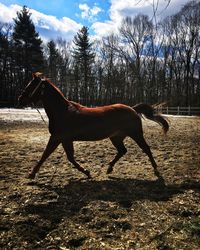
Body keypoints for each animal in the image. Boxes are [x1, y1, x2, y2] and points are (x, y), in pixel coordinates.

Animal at [18, 72, 169, 180]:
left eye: (31, 85)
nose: (20, 99)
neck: (62, 111)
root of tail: (132, 109)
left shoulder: (57, 138)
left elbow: (46, 155)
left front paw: (31, 174)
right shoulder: (65, 139)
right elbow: (69, 158)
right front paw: (87, 172)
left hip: (136, 134)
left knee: (146, 149)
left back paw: (156, 170)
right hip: (116, 137)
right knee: (122, 151)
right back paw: (109, 168)